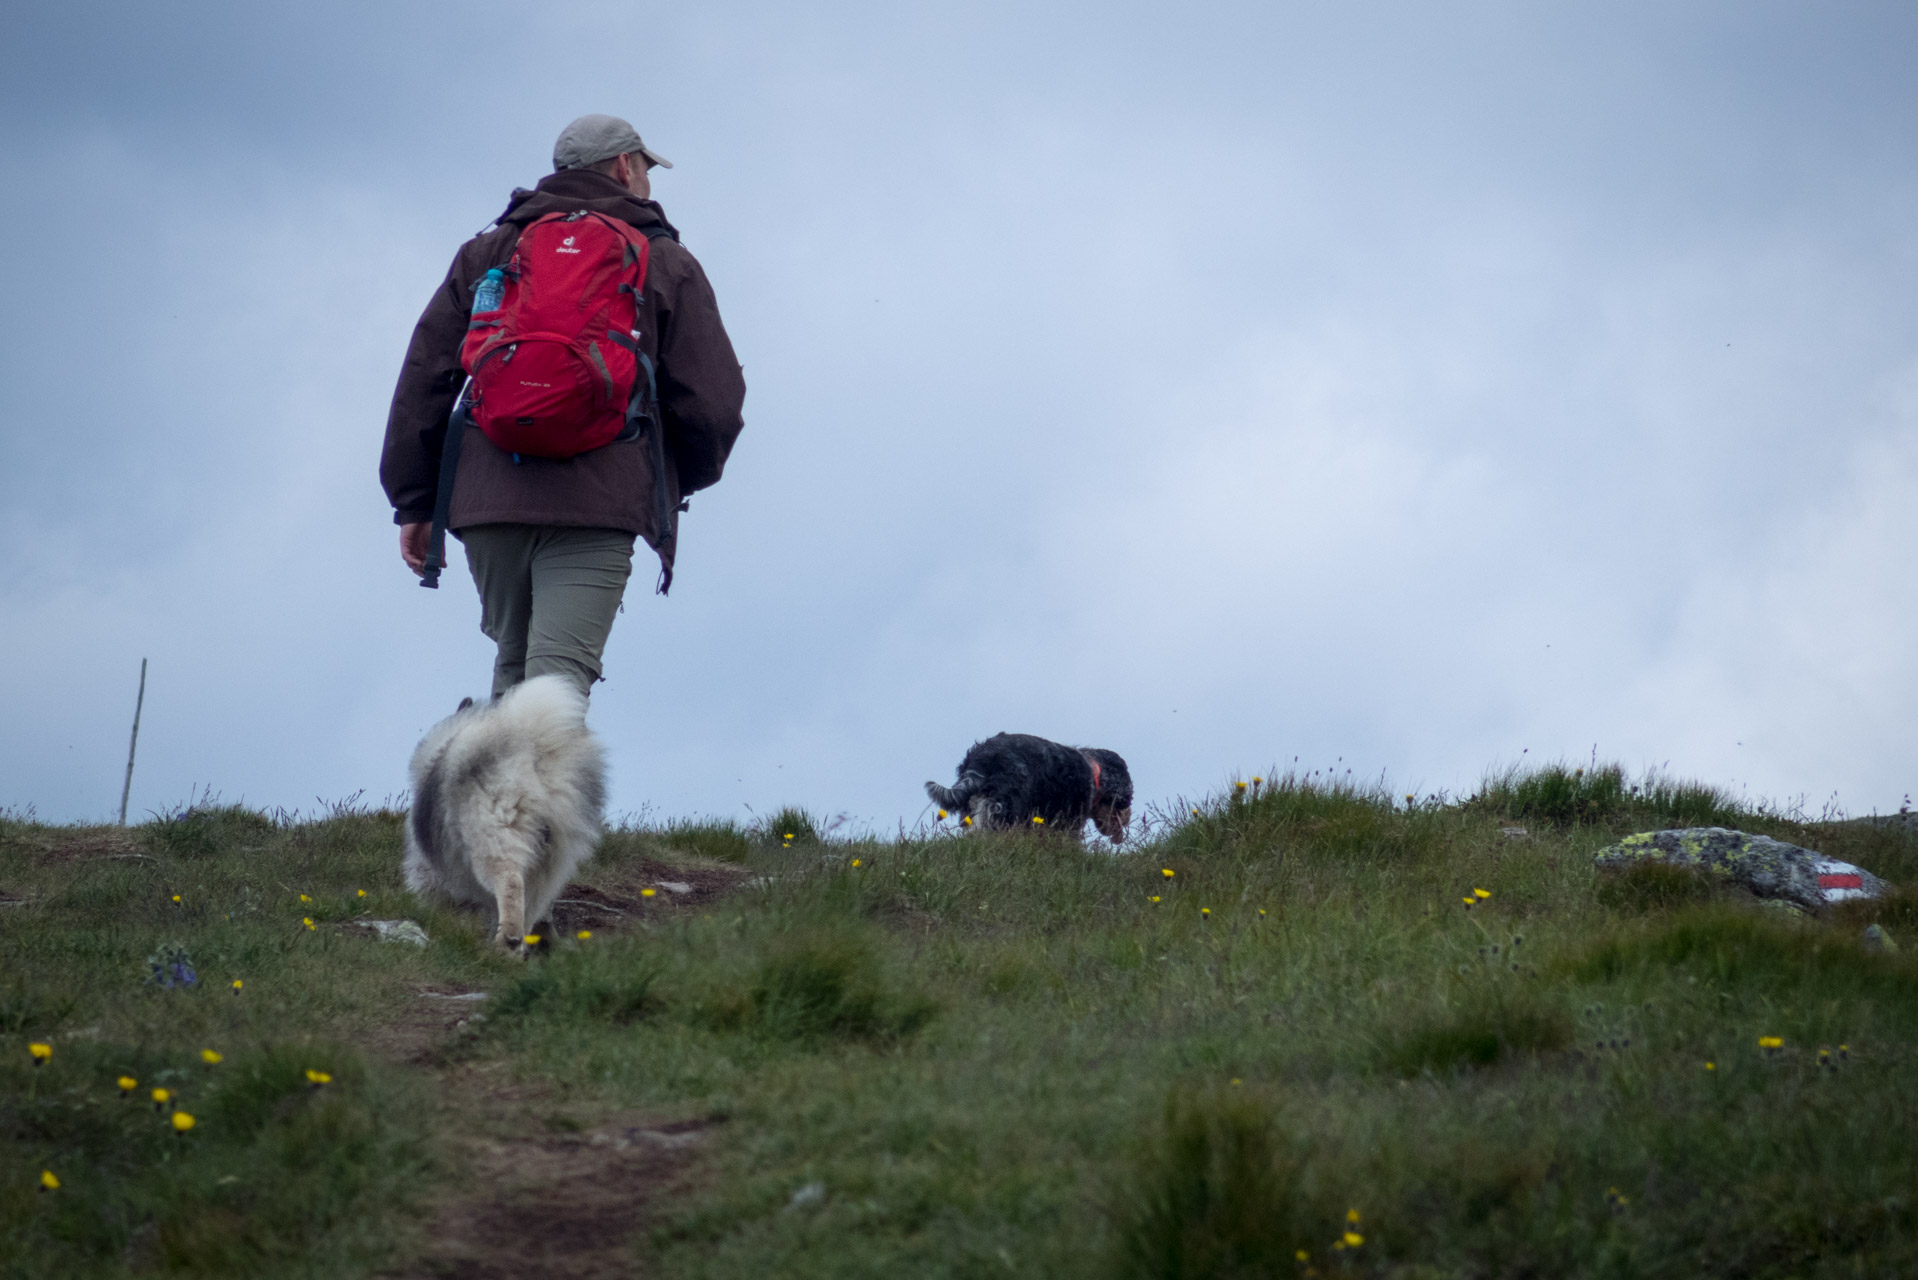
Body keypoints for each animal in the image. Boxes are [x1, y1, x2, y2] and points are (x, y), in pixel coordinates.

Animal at [404, 675, 606, 948]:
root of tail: (535, 752)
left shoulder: (429, 866)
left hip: (496, 838)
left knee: (510, 886)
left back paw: (505, 941)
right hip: (553, 861)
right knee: (531, 908)